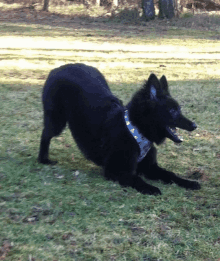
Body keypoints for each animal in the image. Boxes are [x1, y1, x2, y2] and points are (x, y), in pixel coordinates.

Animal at [38, 62, 201, 193]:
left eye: (179, 109)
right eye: (172, 111)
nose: (195, 125)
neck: (136, 130)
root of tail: (57, 69)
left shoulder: (150, 167)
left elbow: (170, 174)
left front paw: (188, 182)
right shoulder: (116, 170)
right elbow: (136, 179)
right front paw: (151, 188)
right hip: (57, 121)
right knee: (45, 134)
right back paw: (43, 159)